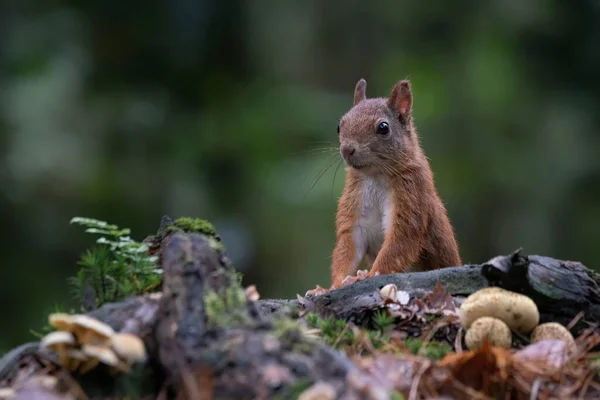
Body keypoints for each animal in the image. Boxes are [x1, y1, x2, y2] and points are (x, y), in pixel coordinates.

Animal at [310, 77, 460, 294]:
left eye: (383, 128)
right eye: (339, 126)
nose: (347, 149)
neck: (375, 176)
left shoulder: (412, 197)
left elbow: (399, 242)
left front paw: (371, 275)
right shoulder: (354, 206)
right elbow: (348, 245)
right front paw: (332, 286)